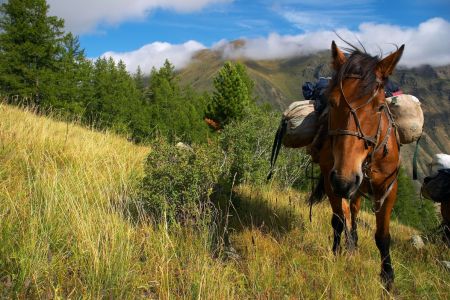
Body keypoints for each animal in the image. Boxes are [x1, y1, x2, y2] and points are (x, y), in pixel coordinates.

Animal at [318, 41, 406, 290]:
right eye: (332, 101)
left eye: (379, 107)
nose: (344, 180)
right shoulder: (330, 180)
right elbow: (338, 221)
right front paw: (336, 253)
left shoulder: (388, 189)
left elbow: (383, 236)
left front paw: (388, 278)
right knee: (351, 213)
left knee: (355, 209)